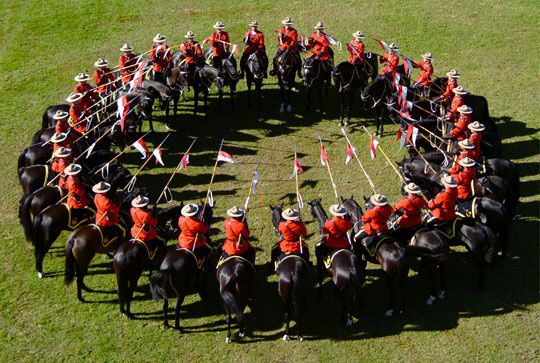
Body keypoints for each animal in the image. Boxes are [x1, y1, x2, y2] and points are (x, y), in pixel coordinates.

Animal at [268, 205, 308, 342]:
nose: (275, 229)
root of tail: (293, 273)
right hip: (300, 294)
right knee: (299, 313)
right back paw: (300, 335)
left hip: (284, 296)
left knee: (288, 314)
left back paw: (286, 334)